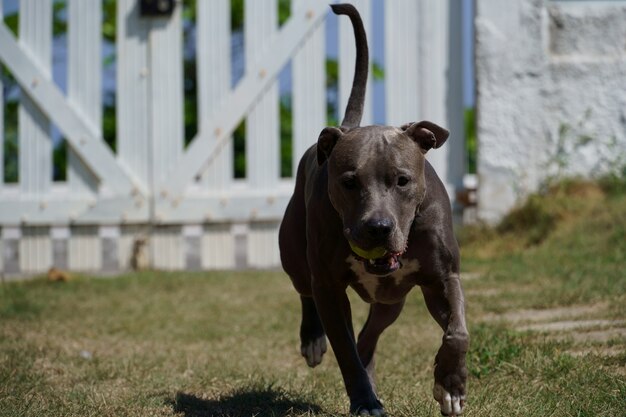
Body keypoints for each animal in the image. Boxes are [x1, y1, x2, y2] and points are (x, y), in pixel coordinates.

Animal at [276, 4, 466, 416]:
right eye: (349, 181)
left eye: (403, 180)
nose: (378, 227)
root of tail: (345, 127)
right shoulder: (330, 288)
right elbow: (344, 351)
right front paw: (364, 401)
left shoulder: (443, 278)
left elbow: (457, 331)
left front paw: (451, 385)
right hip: (295, 257)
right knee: (306, 292)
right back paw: (313, 340)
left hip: (391, 301)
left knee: (369, 333)